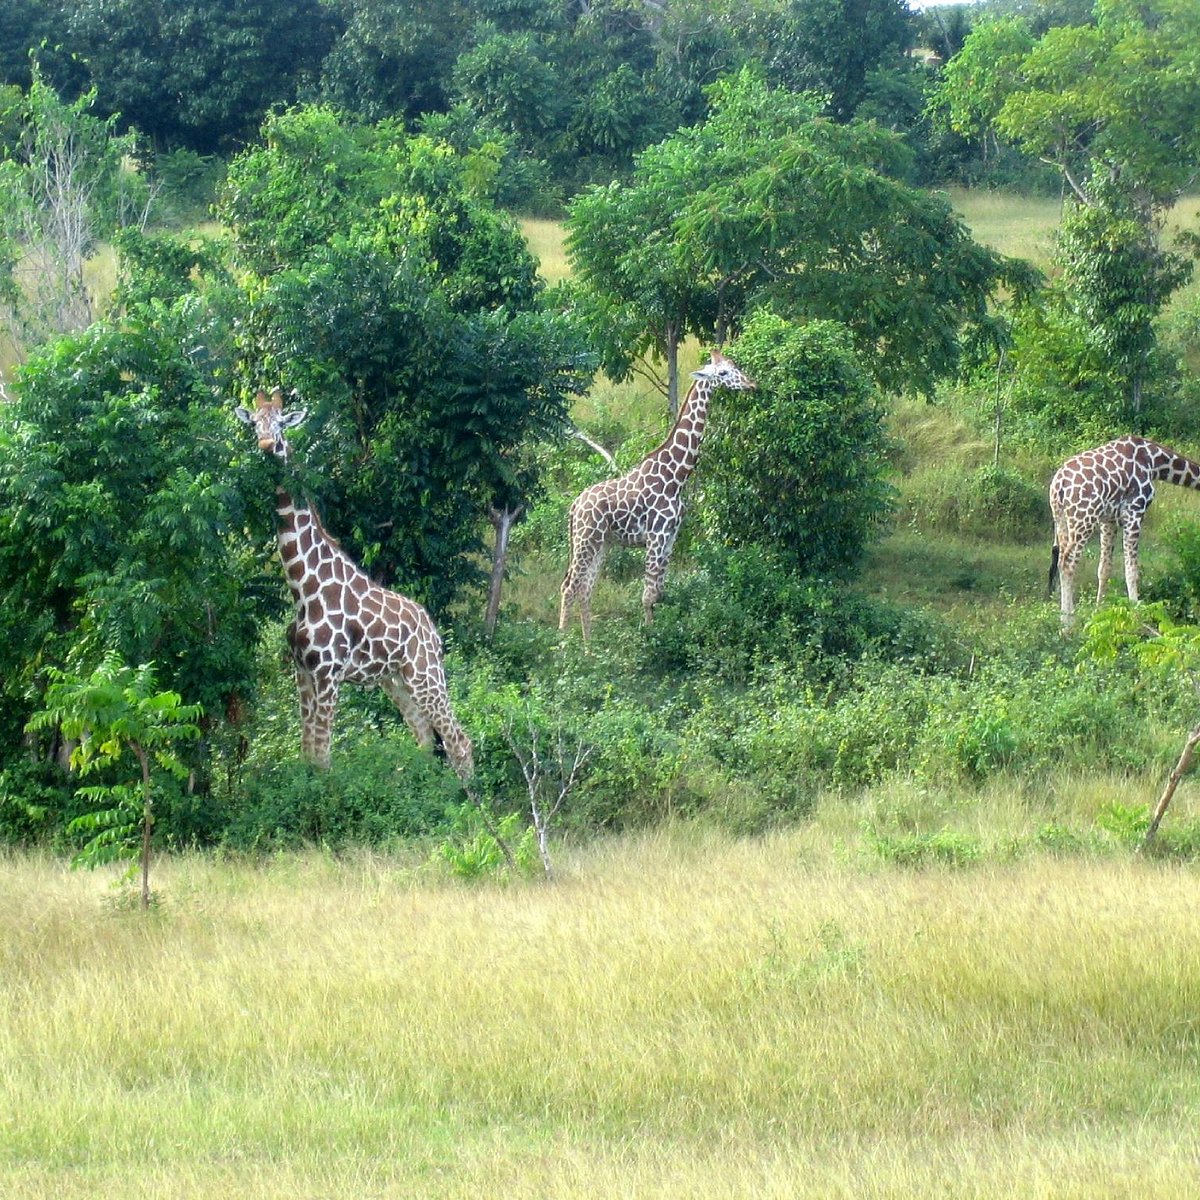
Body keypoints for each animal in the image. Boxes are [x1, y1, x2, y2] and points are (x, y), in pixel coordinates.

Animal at [234, 386, 472, 777]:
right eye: (254, 423)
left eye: (281, 423)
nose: (267, 445)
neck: (302, 589)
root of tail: (434, 632)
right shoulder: (302, 672)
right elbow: (308, 752)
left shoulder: (328, 673)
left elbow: (323, 755)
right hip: (396, 679)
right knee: (425, 737)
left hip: (424, 673)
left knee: (459, 741)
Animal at [559, 350, 748, 643]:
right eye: (723, 373)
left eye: (734, 365)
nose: (751, 383)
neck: (677, 476)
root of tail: (575, 505)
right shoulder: (656, 536)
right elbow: (647, 596)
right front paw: (649, 641)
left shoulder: (670, 537)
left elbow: (659, 593)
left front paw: (659, 633)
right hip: (585, 538)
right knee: (569, 586)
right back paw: (562, 645)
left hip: (600, 543)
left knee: (584, 589)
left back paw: (588, 647)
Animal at [1046, 434, 1200, 628]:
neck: (1153, 461)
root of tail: (1059, 485)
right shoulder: (1135, 512)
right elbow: (1132, 571)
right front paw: (1137, 614)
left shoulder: (1109, 520)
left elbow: (1104, 568)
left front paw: (1098, 613)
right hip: (1083, 519)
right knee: (1067, 563)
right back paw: (1068, 624)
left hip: (1061, 518)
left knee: (1061, 560)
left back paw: (1063, 619)